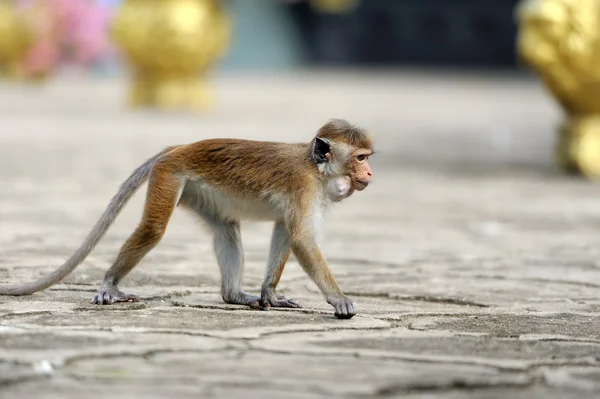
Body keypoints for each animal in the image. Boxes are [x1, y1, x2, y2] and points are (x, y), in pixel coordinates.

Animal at [0, 119, 372, 318]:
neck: (316, 168)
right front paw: (338, 298)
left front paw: (270, 293)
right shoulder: (304, 187)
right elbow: (301, 239)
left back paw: (234, 296)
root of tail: (179, 147)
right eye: (360, 157)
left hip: (197, 190)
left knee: (226, 230)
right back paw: (110, 285)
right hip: (170, 175)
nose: (369, 172)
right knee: (153, 229)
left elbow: (285, 231)